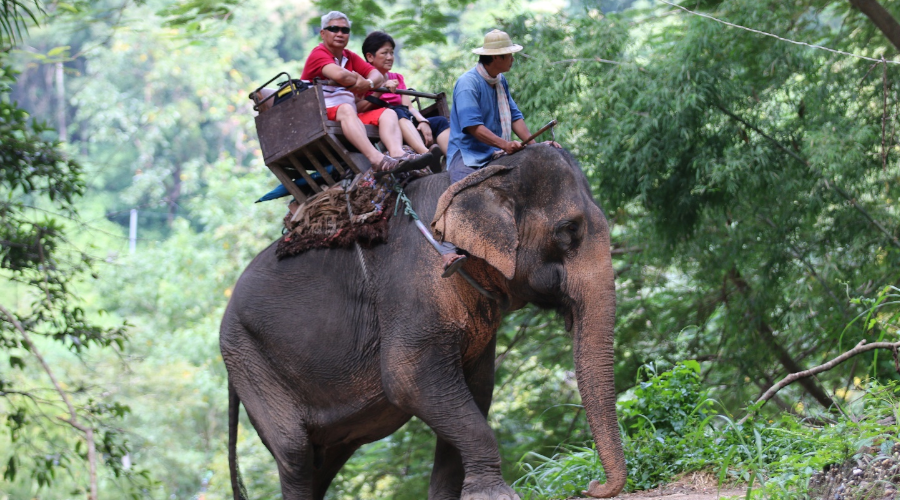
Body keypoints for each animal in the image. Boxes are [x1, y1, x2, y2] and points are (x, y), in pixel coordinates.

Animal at [219, 144, 626, 500]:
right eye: (569, 230)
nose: (593, 487)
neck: (475, 178)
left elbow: (477, 389)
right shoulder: (413, 286)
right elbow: (409, 380)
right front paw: (496, 495)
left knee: (322, 460)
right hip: (249, 361)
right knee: (295, 451)